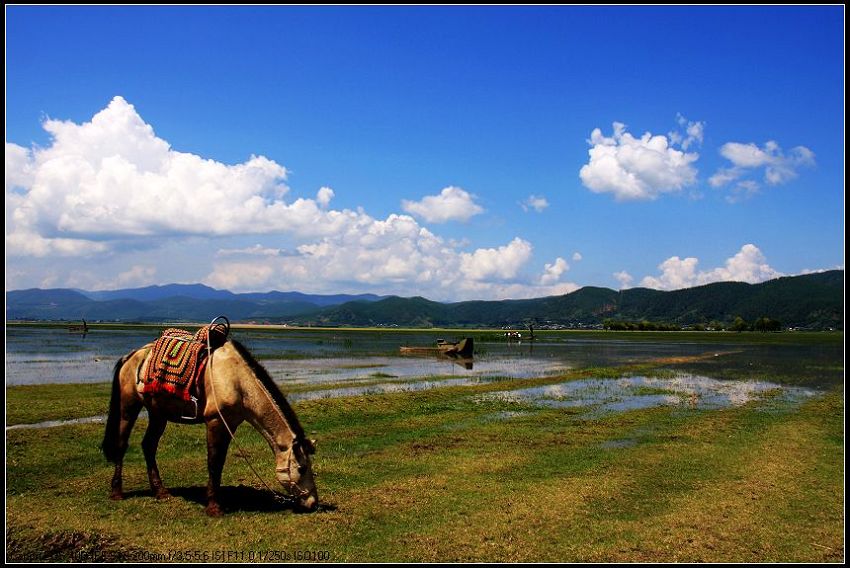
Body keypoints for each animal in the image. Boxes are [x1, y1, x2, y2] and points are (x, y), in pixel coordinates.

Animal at [102, 336, 318, 516]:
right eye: (302, 468)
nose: (313, 503)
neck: (238, 382)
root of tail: (131, 356)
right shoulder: (216, 422)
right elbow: (214, 462)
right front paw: (214, 507)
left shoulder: (231, 423)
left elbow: (219, 462)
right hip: (128, 407)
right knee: (122, 445)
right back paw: (117, 492)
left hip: (158, 414)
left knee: (148, 446)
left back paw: (160, 492)